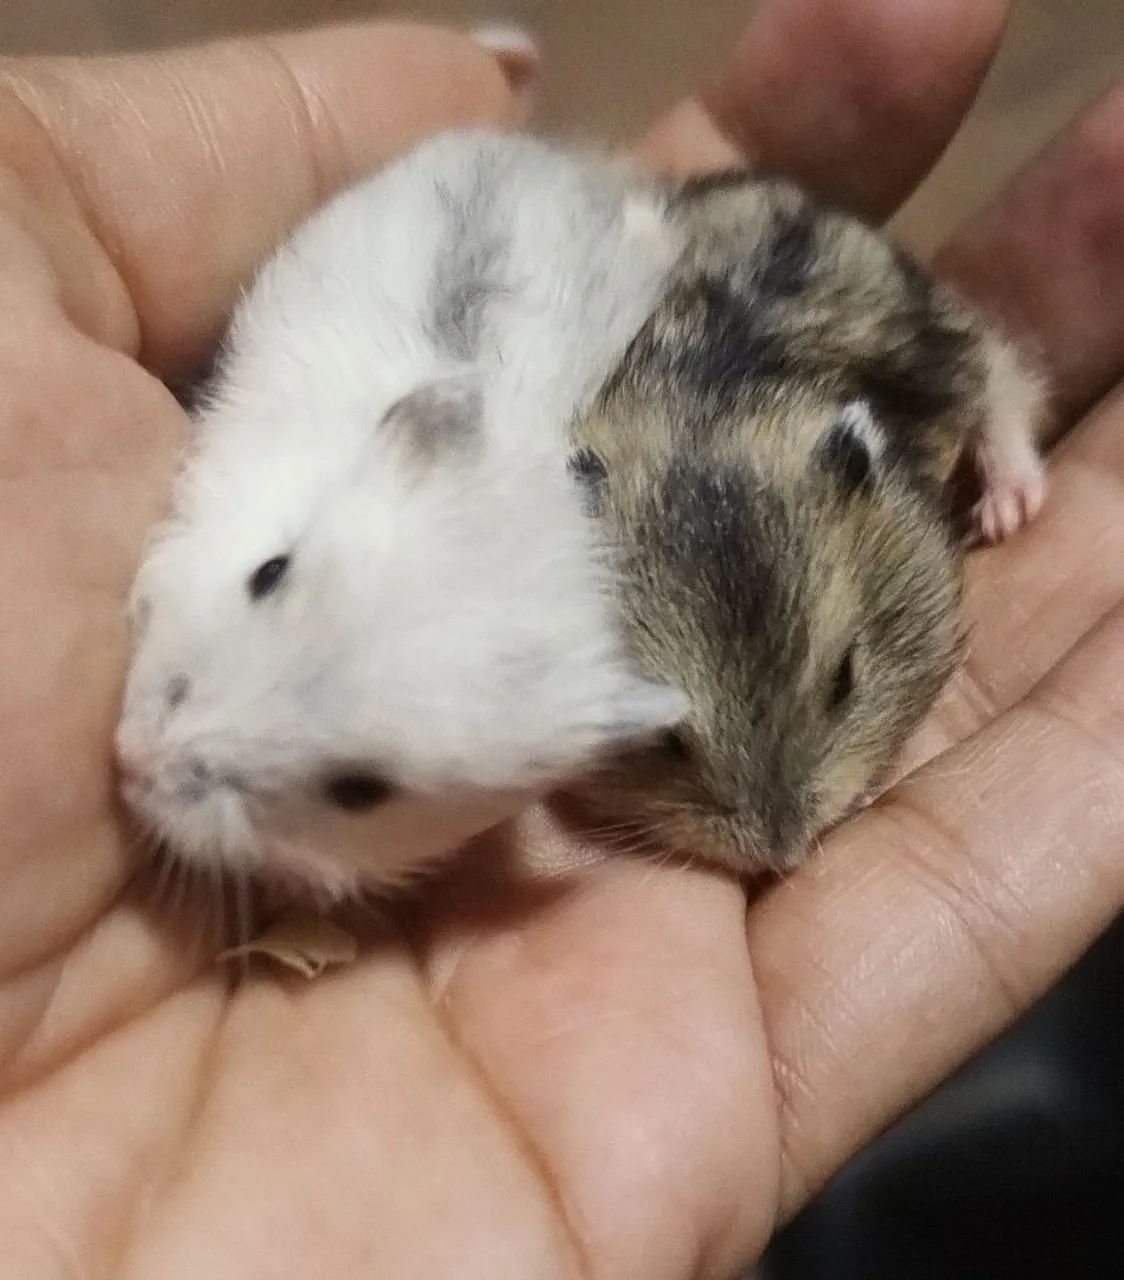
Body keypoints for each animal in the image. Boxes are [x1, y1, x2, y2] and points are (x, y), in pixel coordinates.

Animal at [563, 170, 1046, 874]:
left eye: (845, 678)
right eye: (658, 737)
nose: (785, 856)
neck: (700, 419)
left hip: (936, 334)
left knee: (999, 373)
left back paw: (1011, 509)